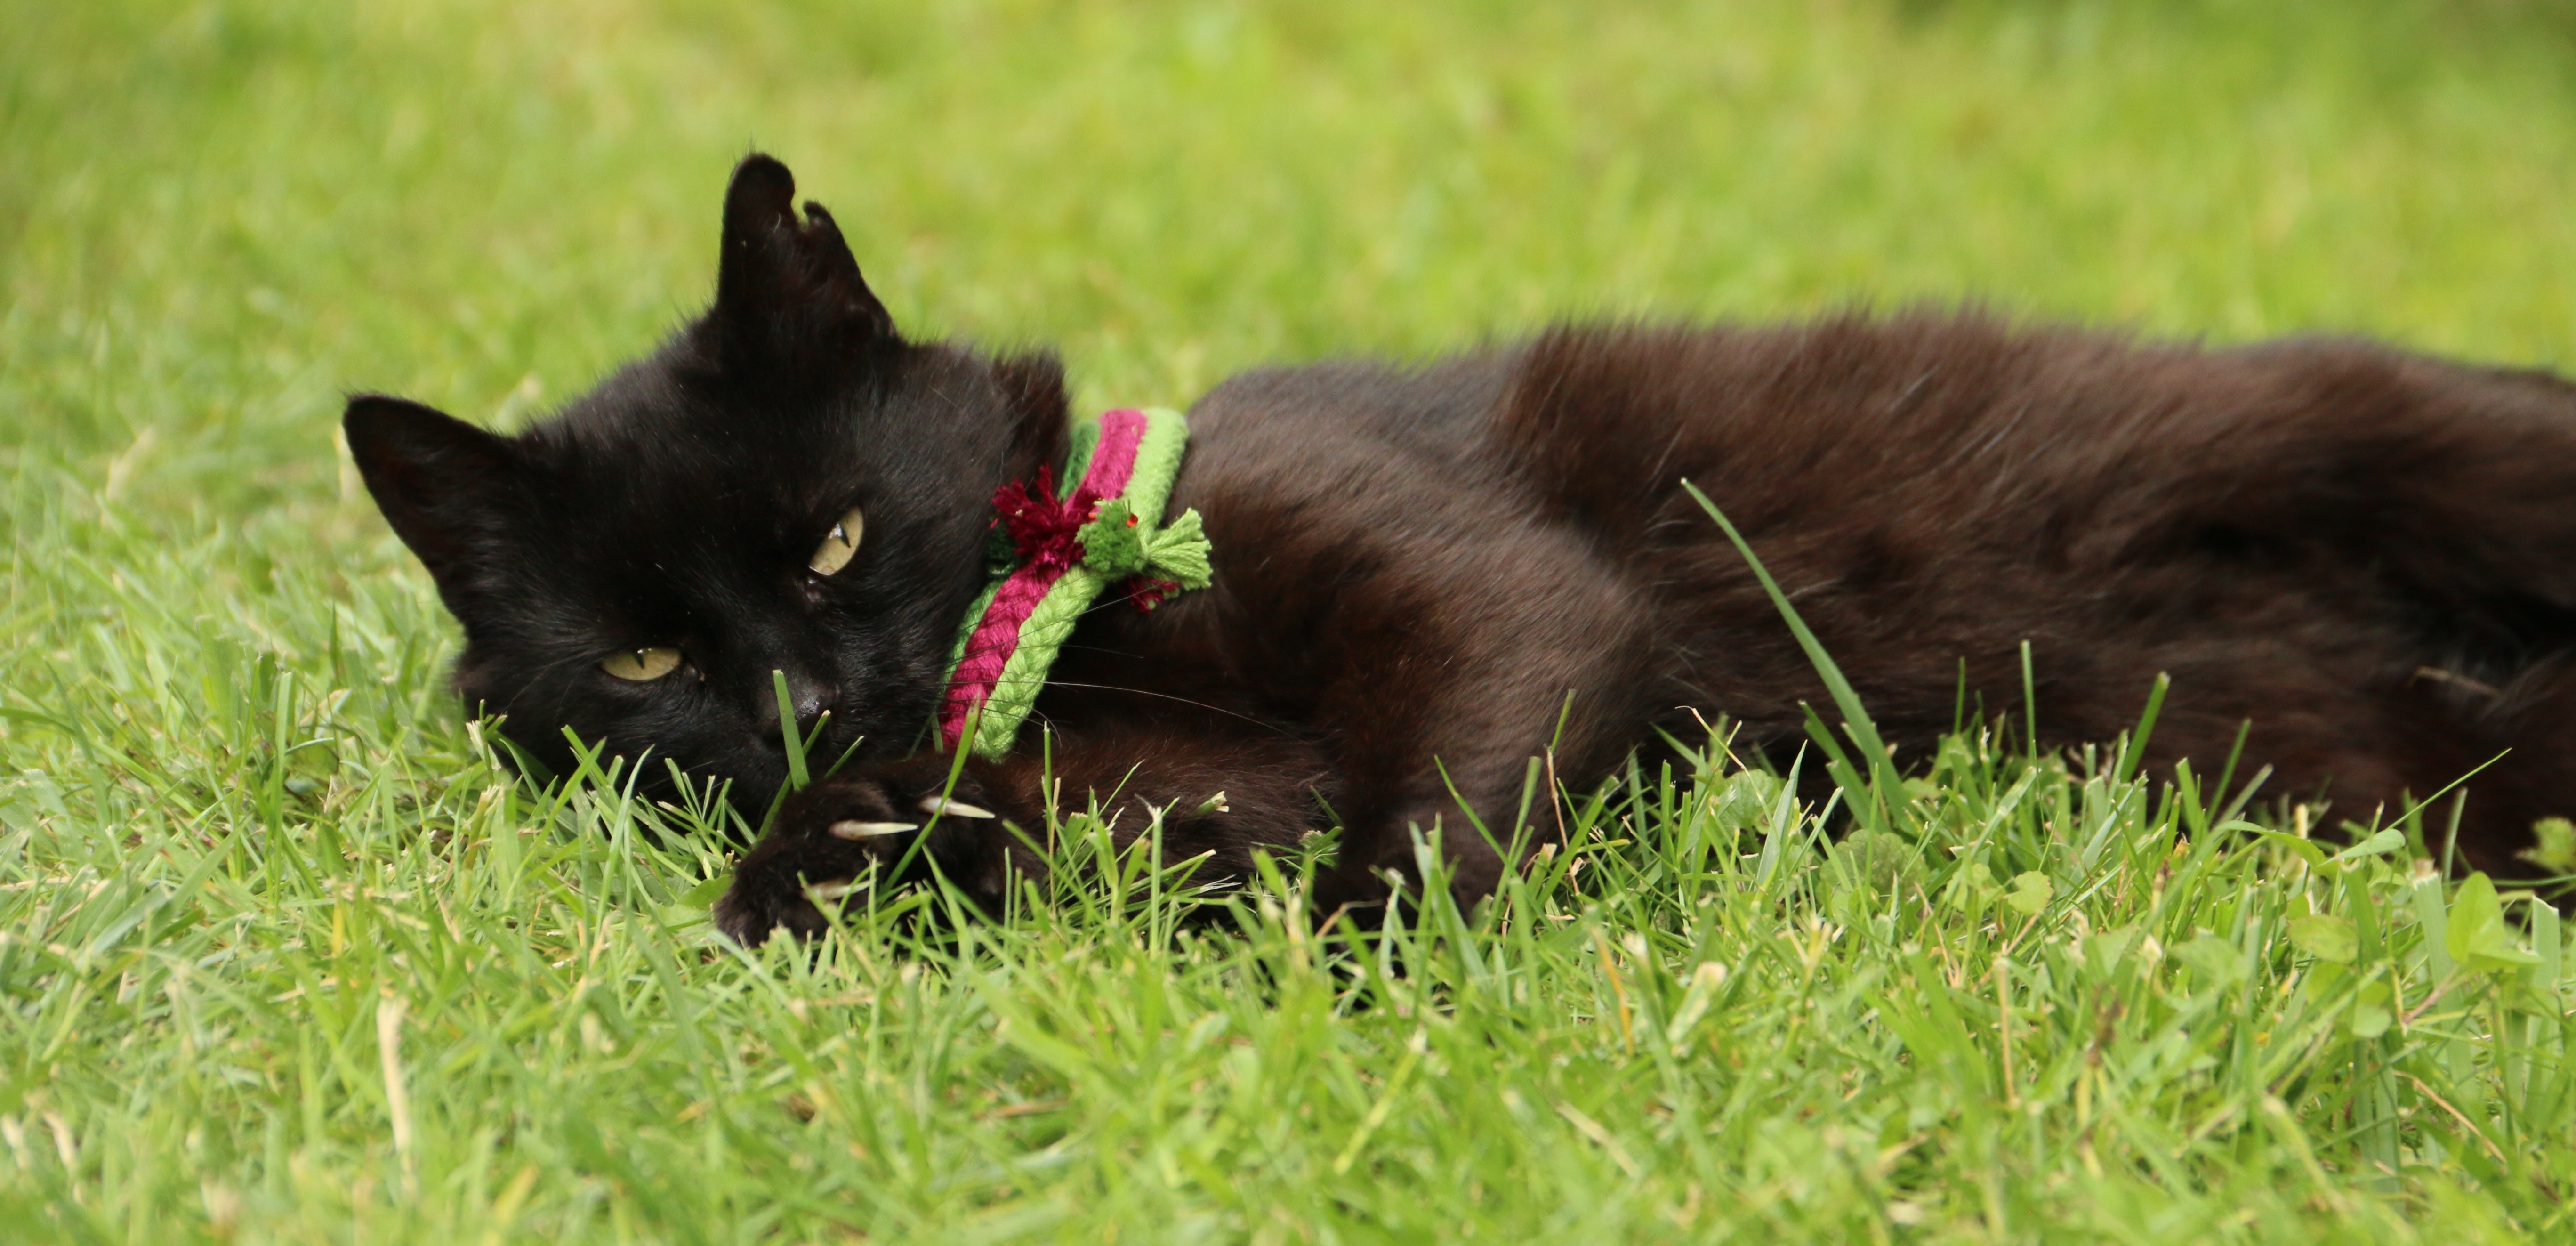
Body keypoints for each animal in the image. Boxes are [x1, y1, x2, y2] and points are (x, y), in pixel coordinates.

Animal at [347, 153, 2576, 942]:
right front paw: (801, 874)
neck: (1073, 615)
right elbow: (1139, 805)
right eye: (641, 661)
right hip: (2383, 767)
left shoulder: (1489, 586)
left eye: (824, 536)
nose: (797, 701)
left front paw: (1369, 969)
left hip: (2390, 451)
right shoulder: (1190, 770)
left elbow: (1452, 775)